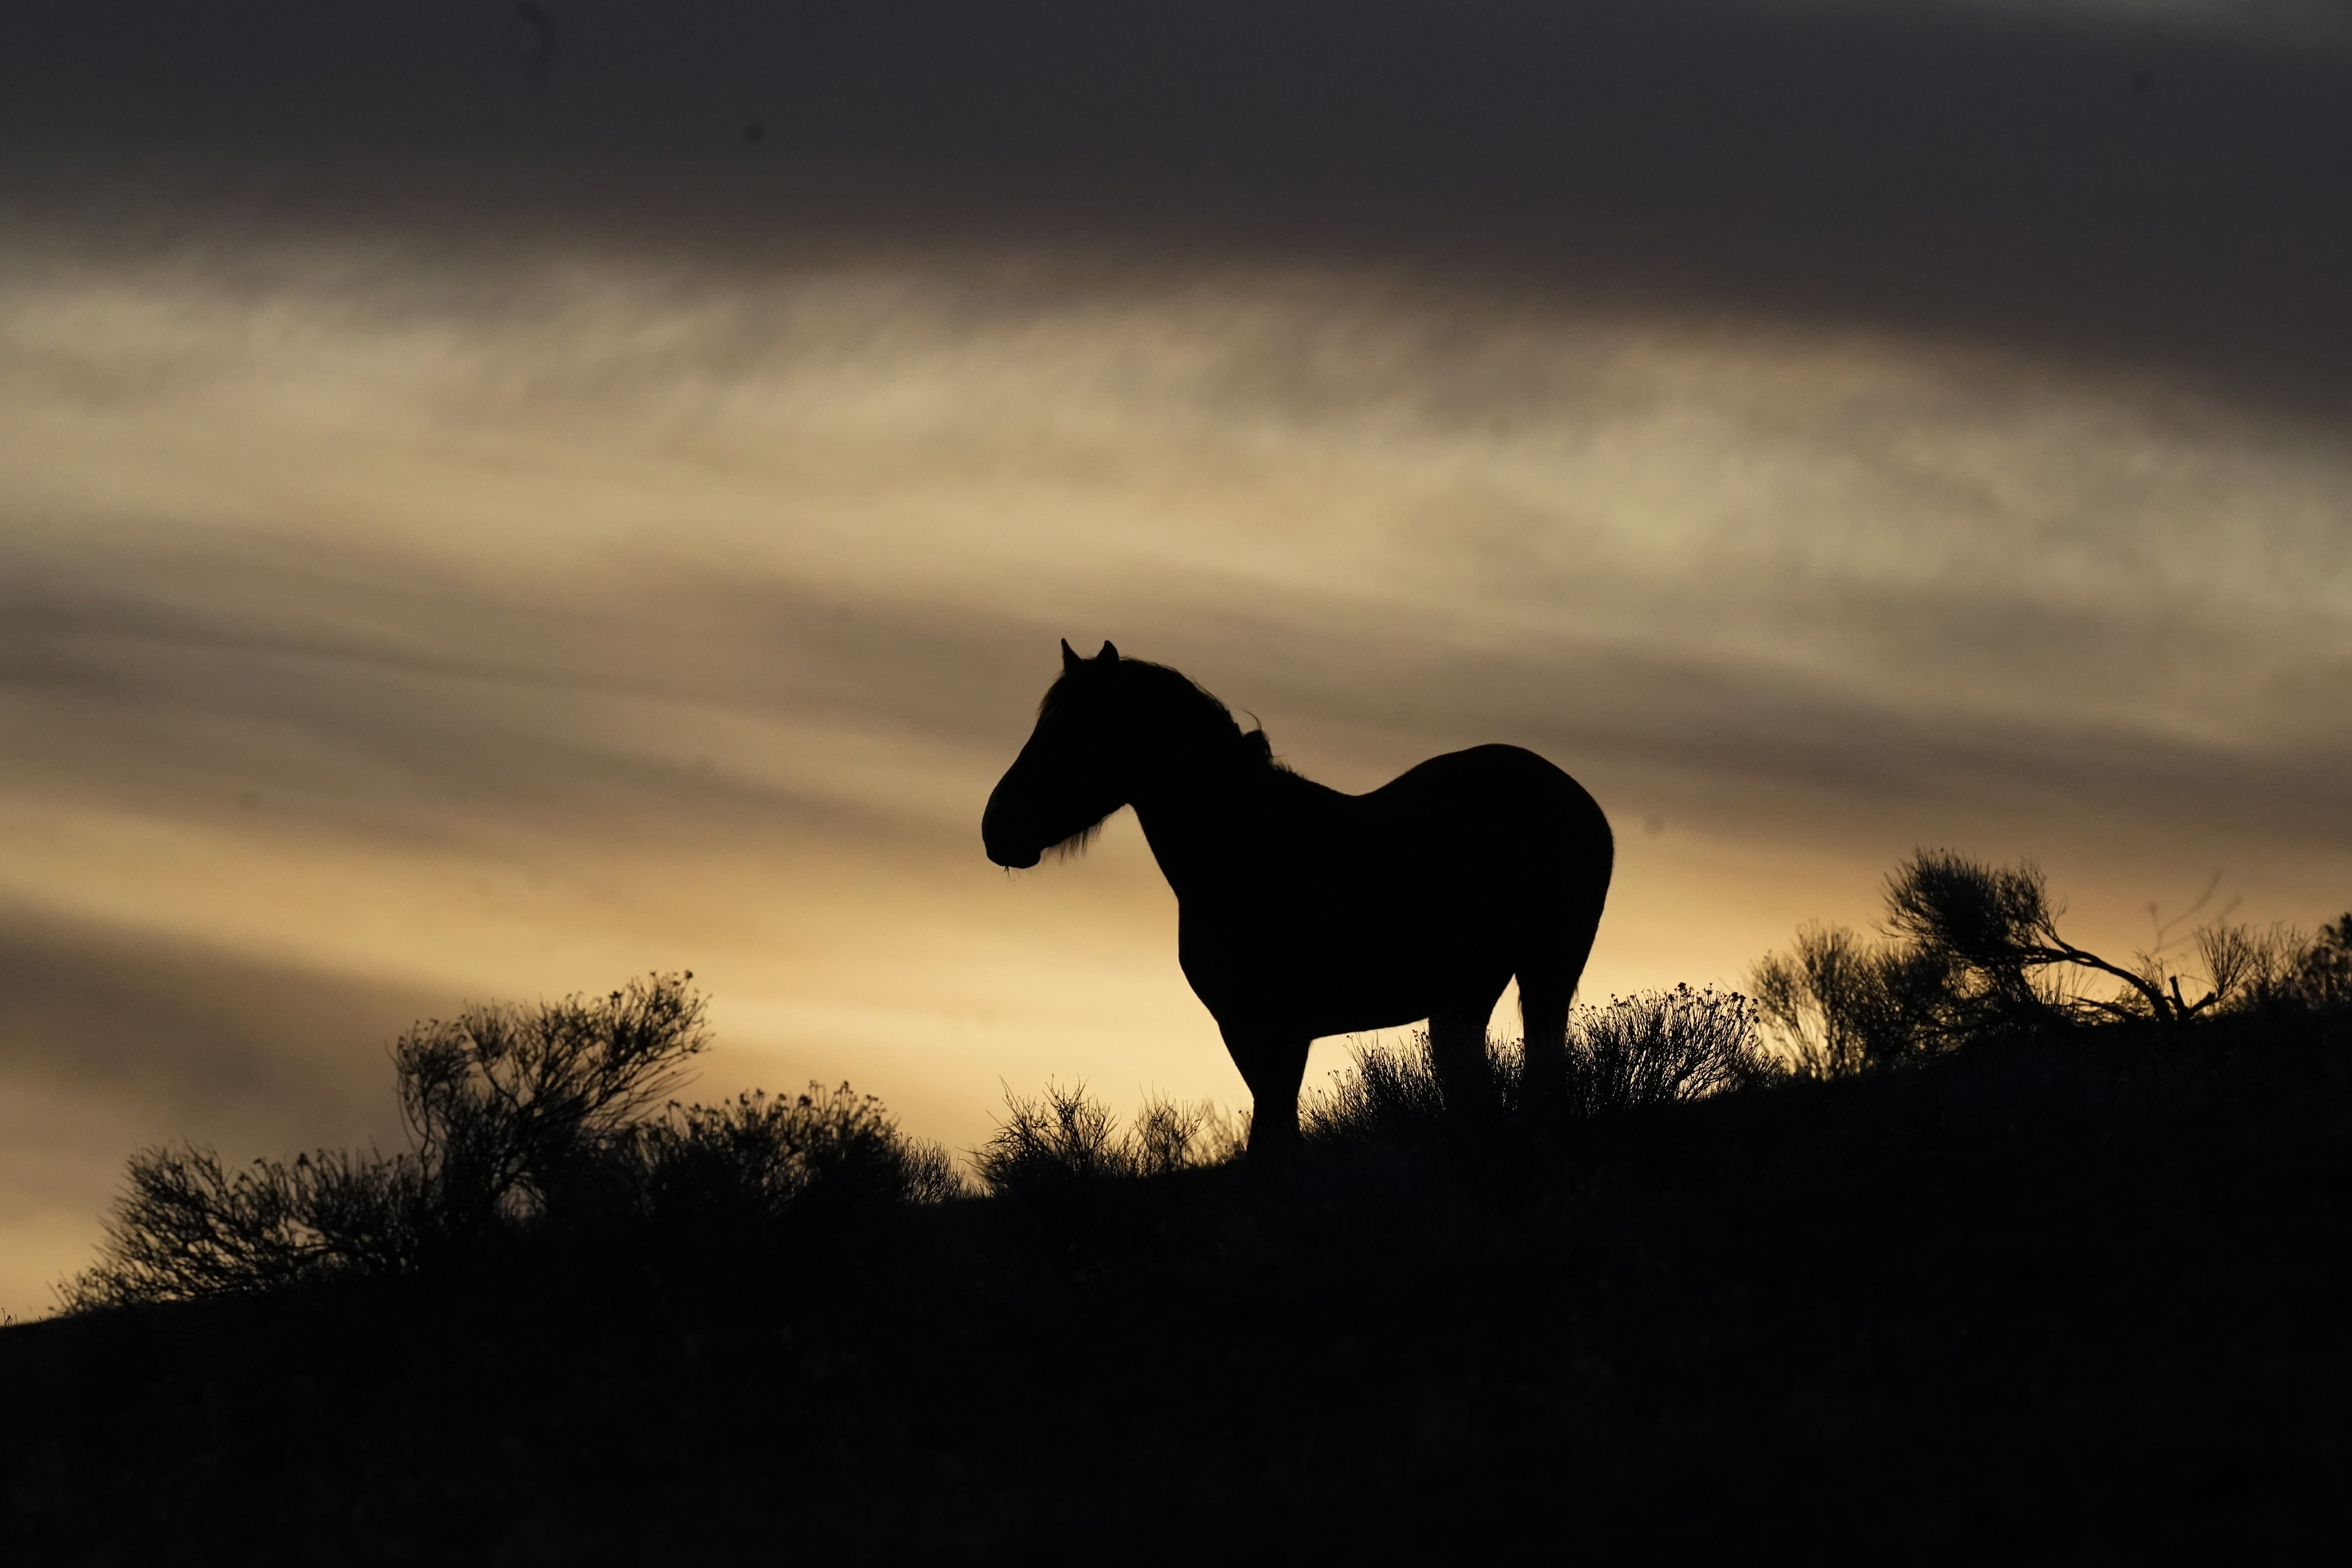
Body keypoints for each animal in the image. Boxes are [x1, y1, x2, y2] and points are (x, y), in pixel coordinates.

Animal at [978, 639, 1618, 1166]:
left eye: (1073, 733)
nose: (996, 828)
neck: (1249, 851)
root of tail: (1575, 795)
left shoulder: (1284, 1030)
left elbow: (1276, 1139)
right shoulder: (1241, 1028)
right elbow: (1272, 1131)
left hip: (1546, 973)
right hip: (1466, 994)